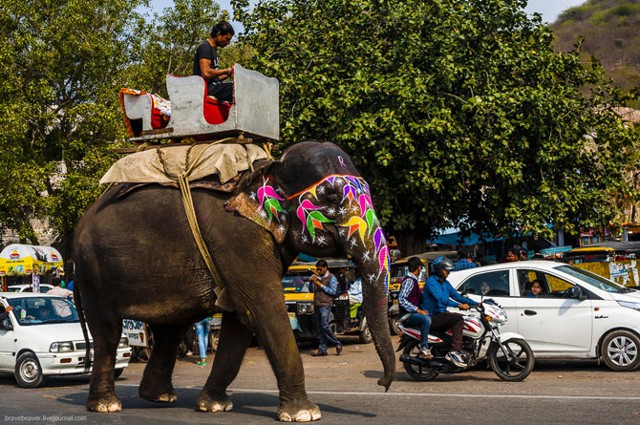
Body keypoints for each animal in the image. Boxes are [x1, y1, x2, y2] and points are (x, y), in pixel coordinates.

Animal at [74, 141, 396, 420]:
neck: (264, 171)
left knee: (169, 329)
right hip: (94, 273)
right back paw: (107, 405)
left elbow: (240, 319)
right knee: (109, 332)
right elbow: (261, 308)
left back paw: (159, 397)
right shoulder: (236, 236)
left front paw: (214, 405)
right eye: (330, 196)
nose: (381, 384)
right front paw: (304, 414)